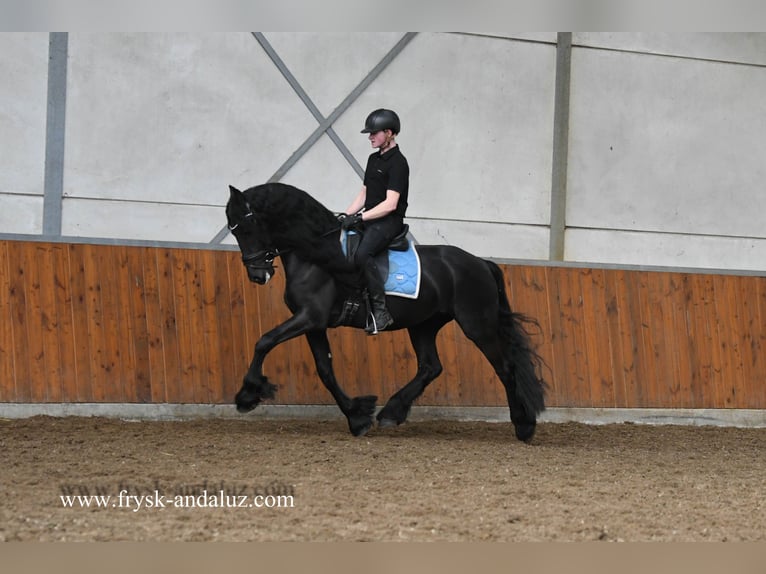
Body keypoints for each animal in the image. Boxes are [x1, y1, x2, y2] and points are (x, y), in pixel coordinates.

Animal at [225, 182, 548, 444]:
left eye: (246, 227)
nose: (258, 275)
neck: (315, 254)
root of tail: (481, 263)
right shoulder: (315, 325)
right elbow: (325, 370)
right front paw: (357, 417)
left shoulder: (310, 318)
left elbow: (264, 341)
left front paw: (247, 395)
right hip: (423, 324)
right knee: (431, 367)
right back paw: (392, 411)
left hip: (477, 325)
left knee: (505, 368)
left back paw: (524, 425)